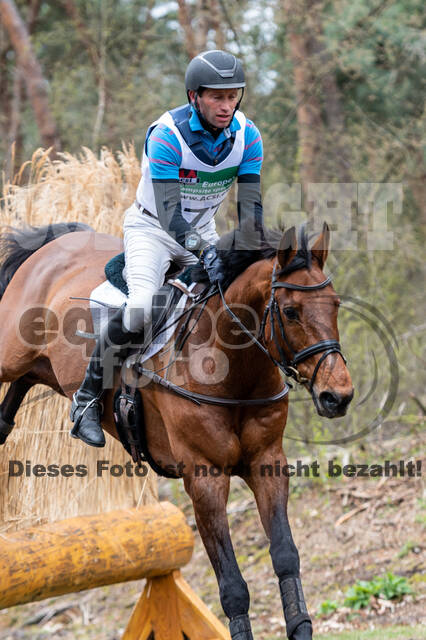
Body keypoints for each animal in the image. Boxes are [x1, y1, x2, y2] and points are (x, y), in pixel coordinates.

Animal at [0, 219, 352, 636]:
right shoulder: (204, 479)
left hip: (35, 369)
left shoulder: (267, 464)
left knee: (13, 400)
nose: (338, 396)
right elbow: (233, 586)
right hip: (9, 355)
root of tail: (50, 244)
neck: (233, 369)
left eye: (335, 305)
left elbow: (286, 556)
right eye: (291, 311)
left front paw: (301, 627)